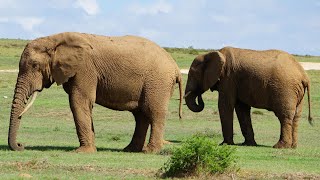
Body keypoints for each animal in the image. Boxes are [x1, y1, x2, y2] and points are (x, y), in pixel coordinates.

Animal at [8, 31, 182, 153]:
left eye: (35, 66)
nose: (21, 145)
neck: (54, 39)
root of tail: (175, 67)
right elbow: (83, 105)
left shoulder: (84, 68)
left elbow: (79, 102)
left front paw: (81, 152)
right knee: (140, 115)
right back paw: (130, 150)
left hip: (158, 81)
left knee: (153, 111)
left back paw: (149, 151)